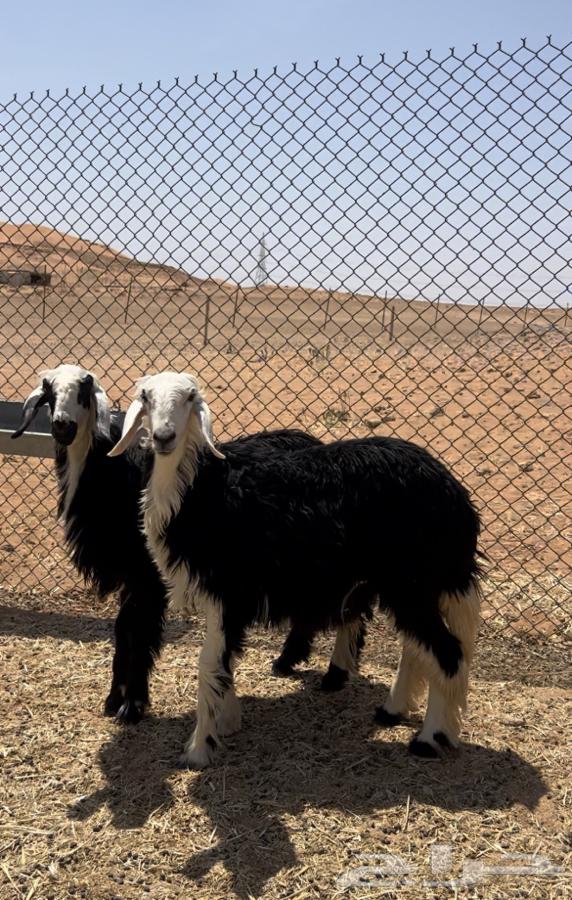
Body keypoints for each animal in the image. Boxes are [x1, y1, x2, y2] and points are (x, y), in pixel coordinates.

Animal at [11, 365, 361, 721]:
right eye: (49, 391)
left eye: (84, 389)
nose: (63, 426)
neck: (116, 478)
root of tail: (312, 440)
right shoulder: (131, 576)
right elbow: (123, 631)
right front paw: (114, 699)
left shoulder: (148, 576)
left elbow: (140, 632)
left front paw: (133, 704)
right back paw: (289, 661)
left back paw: (329, 672)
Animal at [109, 371, 482, 769]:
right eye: (145, 397)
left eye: (191, 397)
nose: (164, 437)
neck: (204, 493)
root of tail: (454, 494)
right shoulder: (230, 598)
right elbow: (224, 662)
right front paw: (227, 723)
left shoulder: (227, 590)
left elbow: (210, 664)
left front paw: (198, 750)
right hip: (411, 584)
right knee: (417, 646)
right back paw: (393, 710)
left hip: (412, 580)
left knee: (448, 653)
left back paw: (430, 738)